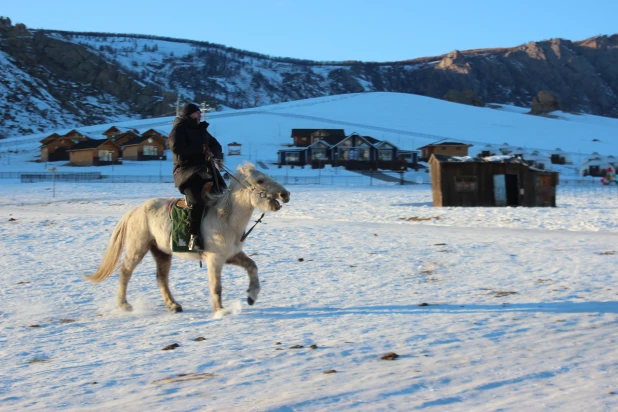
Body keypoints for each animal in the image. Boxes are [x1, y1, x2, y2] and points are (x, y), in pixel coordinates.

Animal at [83, 163, 292, 314]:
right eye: (260, 180)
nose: (285, 194)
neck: (225, 219)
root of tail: (136, 210)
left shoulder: (231, 255)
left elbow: (252, 267)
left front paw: (251, 296)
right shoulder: (214, 259)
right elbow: (216, 286)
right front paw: (220, 311)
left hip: (162, 252)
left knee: (161, 278)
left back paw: (173, 305)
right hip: (138, 248)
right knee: (125, 272)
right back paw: (124, 305)